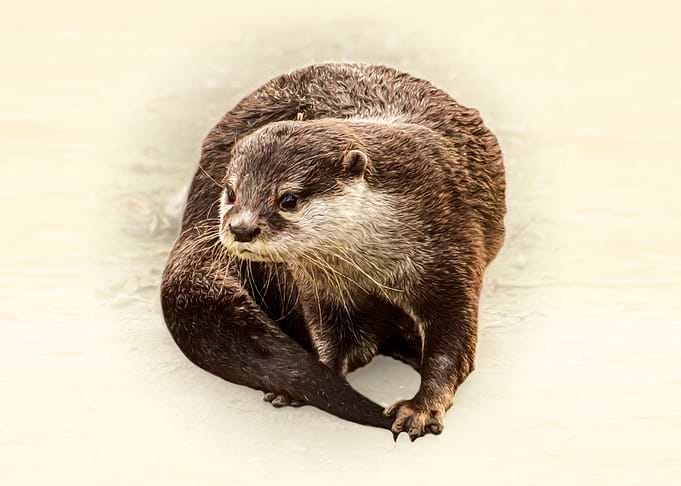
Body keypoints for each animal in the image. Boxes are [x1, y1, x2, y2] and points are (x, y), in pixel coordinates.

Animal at [161, 63, 505, 440]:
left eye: (288, 199)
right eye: (231, 192)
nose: (241, 228)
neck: (373, 264)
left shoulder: (450, 248)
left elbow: (453, 345)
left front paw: (421, 408)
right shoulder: (322, 290)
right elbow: (333, 339)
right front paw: (309, 381)